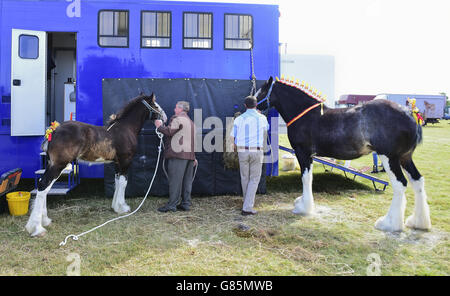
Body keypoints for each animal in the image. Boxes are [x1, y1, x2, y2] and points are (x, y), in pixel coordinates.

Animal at [25, 92, 167, 236]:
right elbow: (123, 183)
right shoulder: (125, 161)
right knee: (43, 186)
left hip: (52, 164)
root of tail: (54, 131)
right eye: (155, 105)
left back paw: (45, 220)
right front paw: (123, 208)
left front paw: (115, 206)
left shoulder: (117, 163)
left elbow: (117, 182)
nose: (165, 117)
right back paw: (37, 228)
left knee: (44, 186)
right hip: (58, 165)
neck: (125, 129)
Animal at [255, 77, 430, 234]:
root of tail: (410, 114)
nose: (250, 102)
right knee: (417, 181)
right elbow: (308, 178)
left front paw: (304, 208)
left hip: (389, 157)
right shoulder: (308, 155)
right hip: (405, 157)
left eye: (261, 91)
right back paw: (418, 222)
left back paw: (389, 224)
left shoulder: (303, 153)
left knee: (400, 184)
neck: (305, 115)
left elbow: (305, 178)